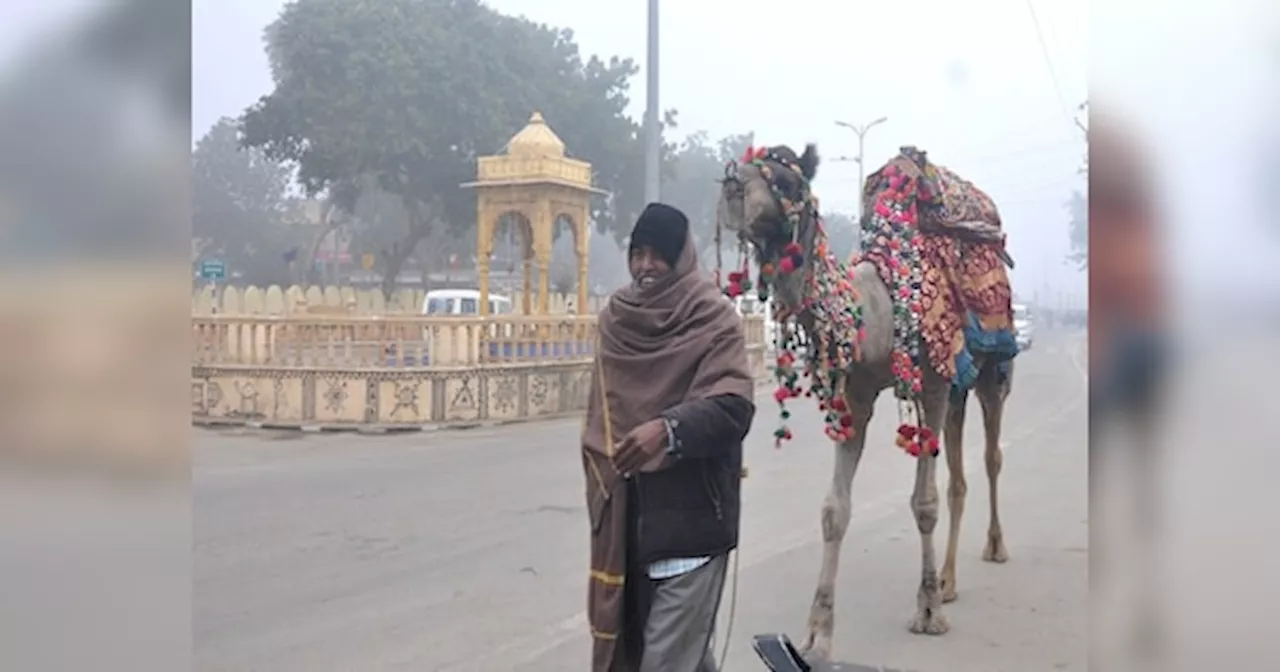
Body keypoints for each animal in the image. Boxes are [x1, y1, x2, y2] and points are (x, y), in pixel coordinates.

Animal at [716, 141, 1013, 660]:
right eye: (749, 167)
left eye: (786, 181)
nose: (732, 185)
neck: (878, 311)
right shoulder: (855, 394)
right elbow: (834, 510)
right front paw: (817, 634)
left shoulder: (932, 385)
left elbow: (924, 503)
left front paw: (928, 613)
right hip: (960, 384)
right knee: (958, 474)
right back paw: (950, 580)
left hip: (992, 366)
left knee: (991, 455)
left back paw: (992, 550)